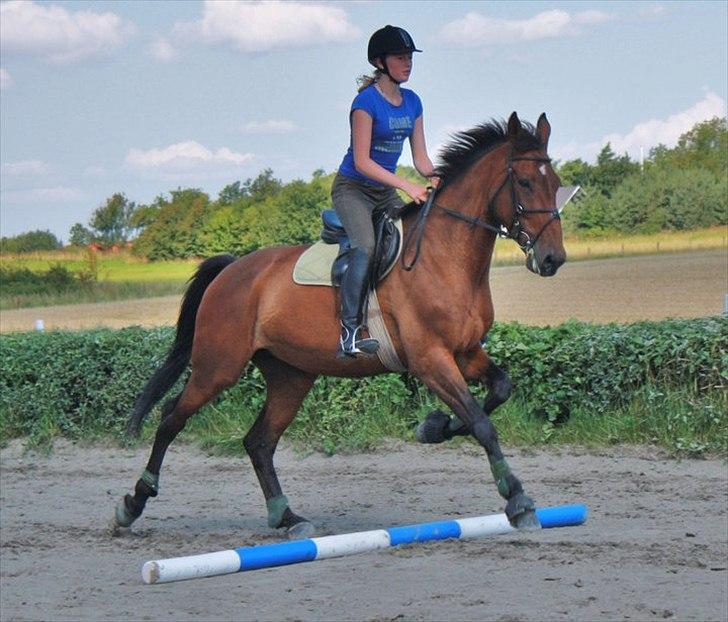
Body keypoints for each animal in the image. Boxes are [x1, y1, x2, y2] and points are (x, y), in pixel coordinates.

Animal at [115, 109, 568, 540]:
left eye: (557, 182)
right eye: (525, 182)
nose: (553, 259)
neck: (446, 257)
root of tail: (231, 269)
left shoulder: (466, 352)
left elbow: (500, 390)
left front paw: (433, 427)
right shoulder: (431, 360)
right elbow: (481, 423)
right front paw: (518, 499)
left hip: (290, 376)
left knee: (258, 441)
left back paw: (287, 517)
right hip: (218, 367)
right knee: (171, 417)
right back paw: (133, 503)